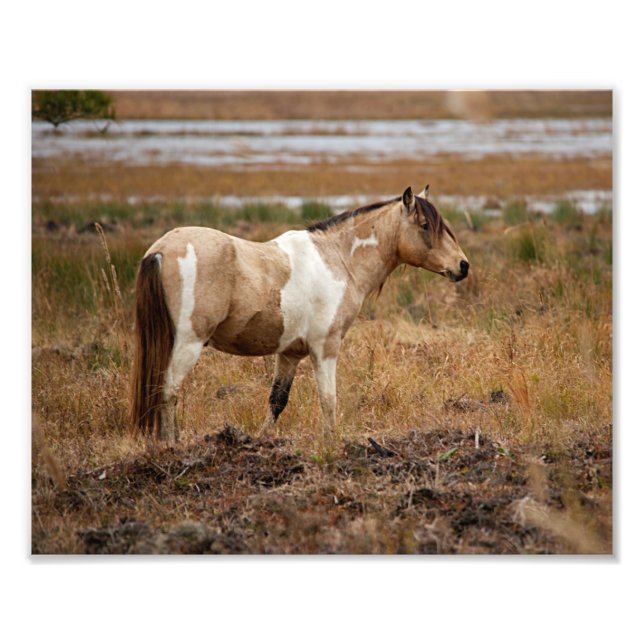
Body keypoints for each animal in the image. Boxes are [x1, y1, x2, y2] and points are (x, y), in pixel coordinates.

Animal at [130, 186, 470, 442]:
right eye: (425, 226)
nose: (463, 266)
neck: (338, 260)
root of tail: (159, 250)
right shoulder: (325, 348)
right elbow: (328, 401)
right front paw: (331, 444)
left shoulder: (290, 354)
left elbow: (277, 401)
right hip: (187, 343)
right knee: (168, 391)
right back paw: (172, 444)